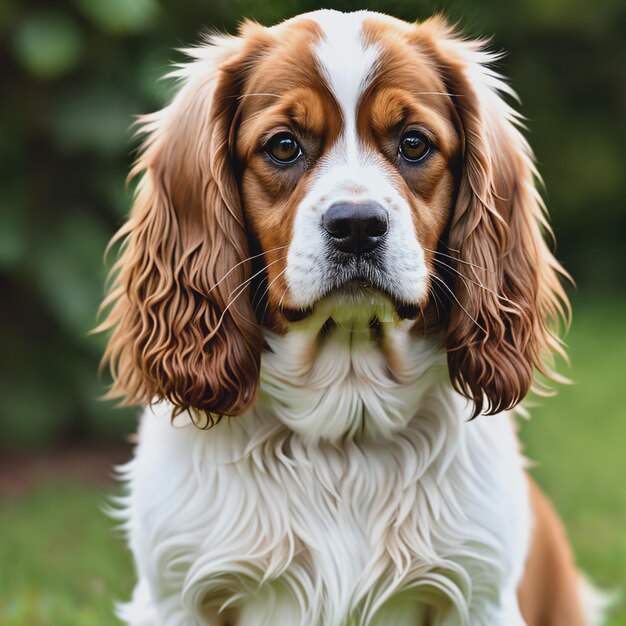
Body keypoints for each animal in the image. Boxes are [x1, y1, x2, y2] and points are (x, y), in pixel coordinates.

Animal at [98, 9, 604, 624]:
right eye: (283, 146)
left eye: (414, 144)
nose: (358, 225)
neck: (346, 422)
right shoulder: (177, 597)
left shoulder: (478, 597)